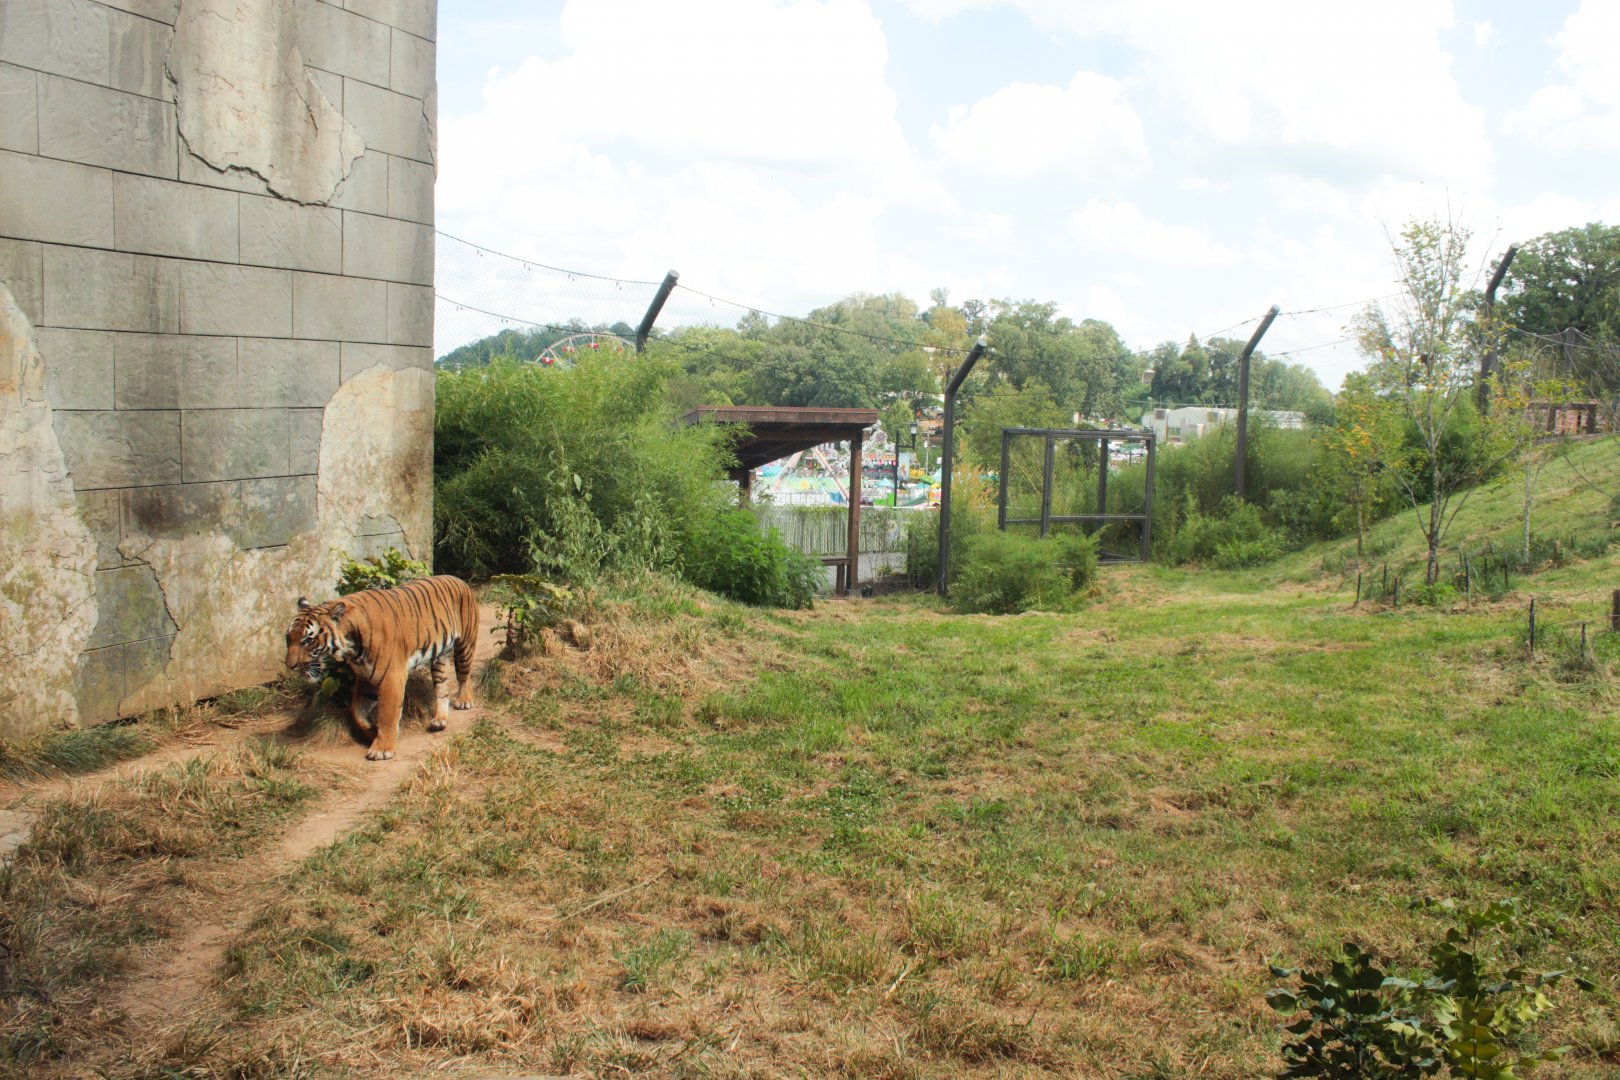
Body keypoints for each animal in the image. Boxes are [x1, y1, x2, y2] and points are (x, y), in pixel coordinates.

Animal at [285, 575, 480, 760]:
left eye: (308, 640)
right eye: (288, 637)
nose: (289, 665)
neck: (350, 647)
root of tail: (459, 580)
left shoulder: (392, 676)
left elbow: (387, 713)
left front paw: (382, 749)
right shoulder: (366, 677)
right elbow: (357, 712)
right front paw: (373, 734)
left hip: (465, 644)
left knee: (465, 674)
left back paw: (464, 700)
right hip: (439, 656)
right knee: (442, 689)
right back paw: (439, 720)